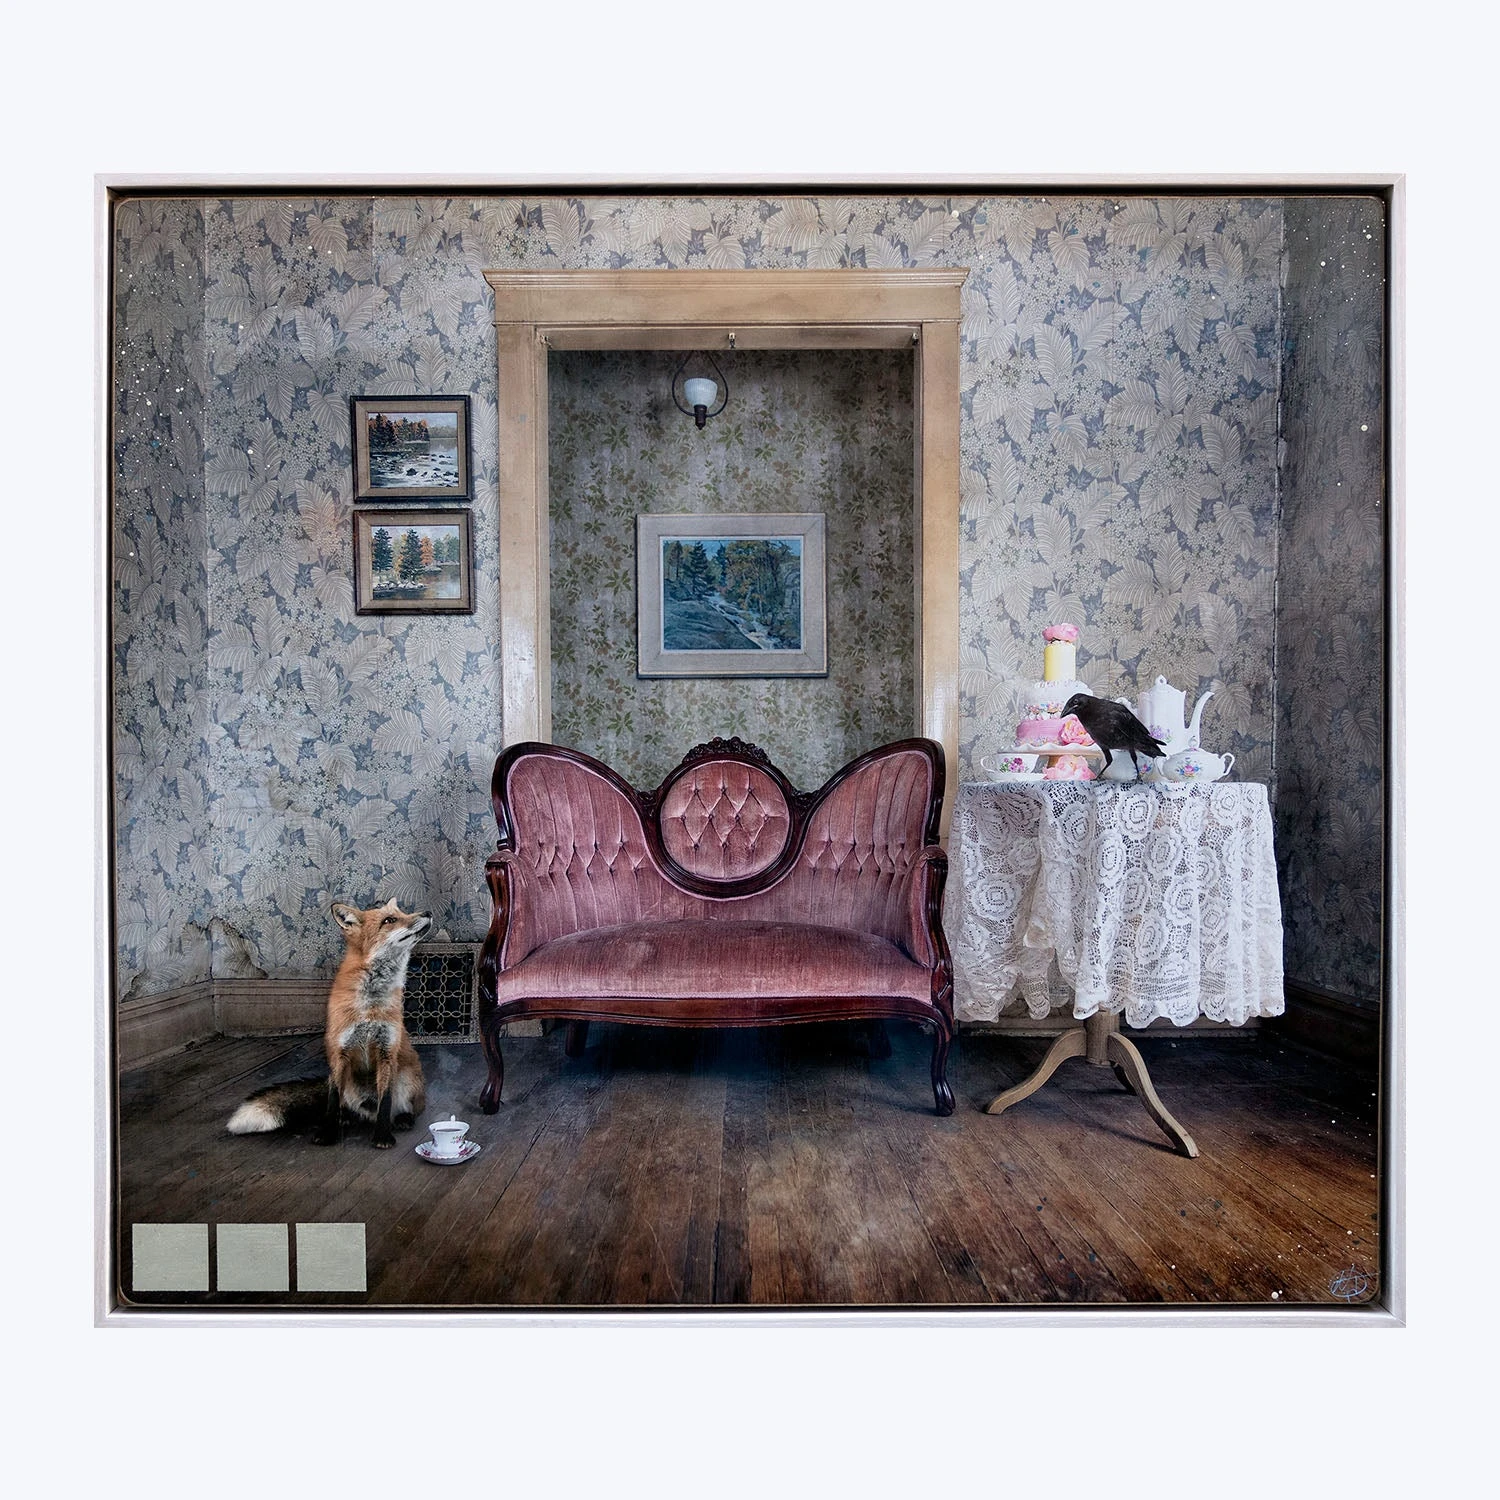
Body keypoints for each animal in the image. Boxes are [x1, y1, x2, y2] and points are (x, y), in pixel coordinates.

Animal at [226, 899, 430, 1148]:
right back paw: (345, 1118)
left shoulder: (387, 1051)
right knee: (344, 1104)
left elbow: (386, 1101)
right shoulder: (339, 1051)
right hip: (345, 1081)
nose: (428, 912)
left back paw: (402, 1118)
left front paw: (382, 1136)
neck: (369, 1005)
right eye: (389, 920)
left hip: (408, 1079)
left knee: (402, 1108)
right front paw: (326, 1133)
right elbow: (332, 1101)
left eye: (402, 912)